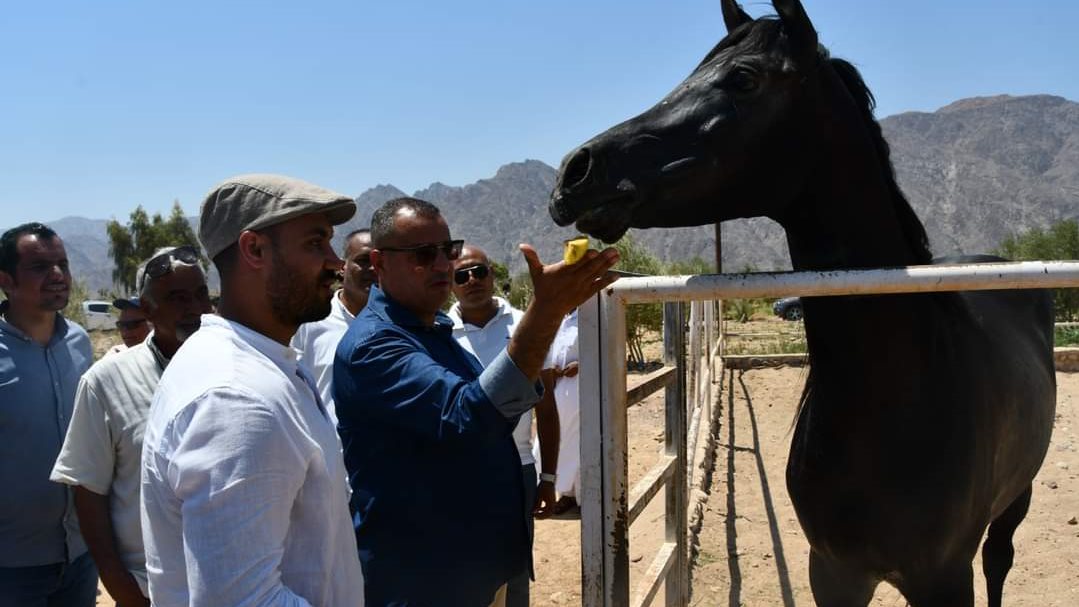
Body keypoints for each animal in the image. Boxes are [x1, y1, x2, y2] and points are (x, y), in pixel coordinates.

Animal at [548, 2, 1053, 603]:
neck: (899, 402)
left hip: (1016, 498)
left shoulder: (944, 578)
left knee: (999, 559)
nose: (575, 172)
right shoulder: (833, 572)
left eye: (743, 77)